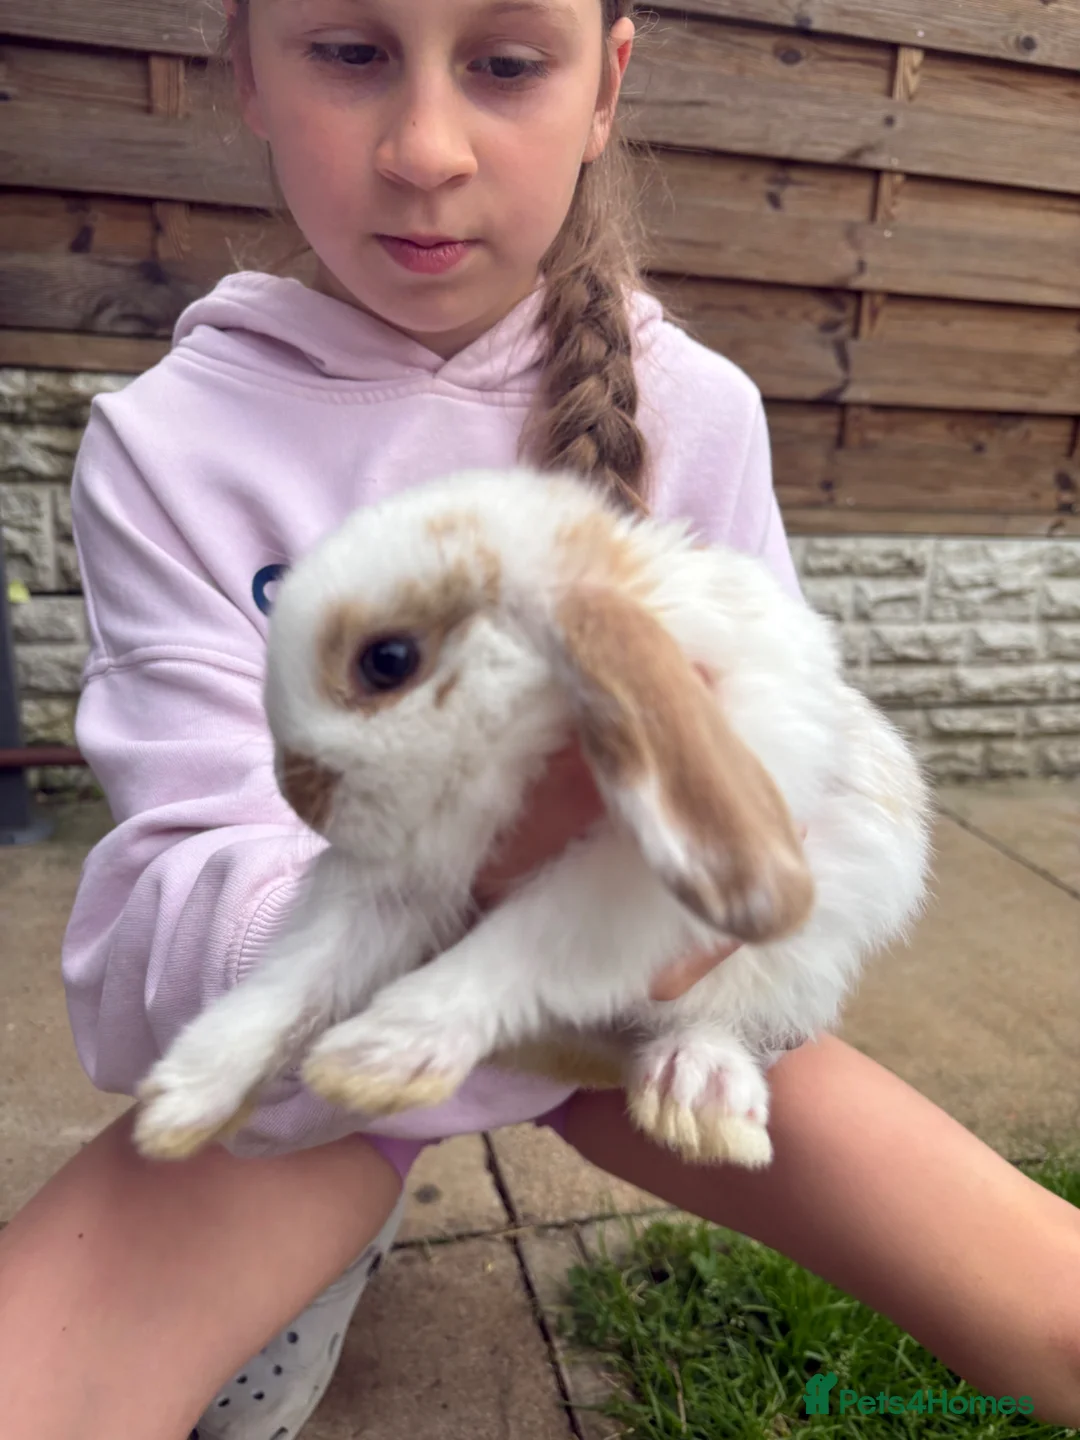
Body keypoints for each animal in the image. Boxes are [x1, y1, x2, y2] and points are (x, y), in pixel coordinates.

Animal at [133, 466, 933, 1169]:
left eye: (387, 660)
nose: (301, 793)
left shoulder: (629, 890)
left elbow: (518, 947)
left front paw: (373, 1059)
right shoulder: (395, 884)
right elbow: (304, 974)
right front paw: (179, 1100)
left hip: (788, 968)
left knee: (719, 1021)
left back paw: (697, 1098)